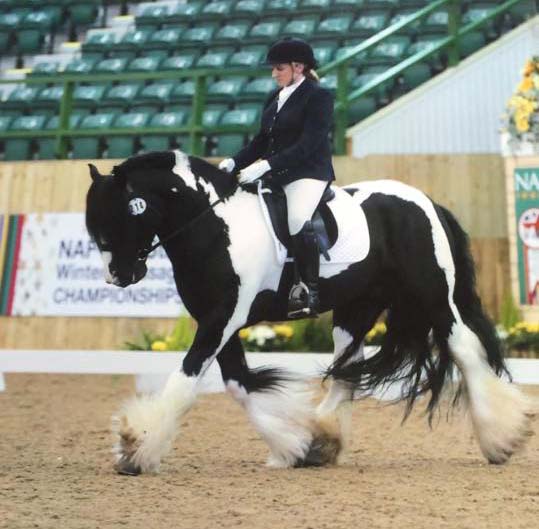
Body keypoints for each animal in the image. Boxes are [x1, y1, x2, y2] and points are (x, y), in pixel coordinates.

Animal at [86, 150, 532, 474]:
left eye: (118, 218)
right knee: (347, 370)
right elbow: (240, 384)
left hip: (434, 296)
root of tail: (427, 202)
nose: (117, 276)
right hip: (356, 308)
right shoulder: (220, 322)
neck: (213, 225)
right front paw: (295, 445)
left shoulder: (222, 319)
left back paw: (503, 438)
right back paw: (324, 440)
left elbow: (185, 381)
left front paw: (136, 446)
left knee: (465, 349)